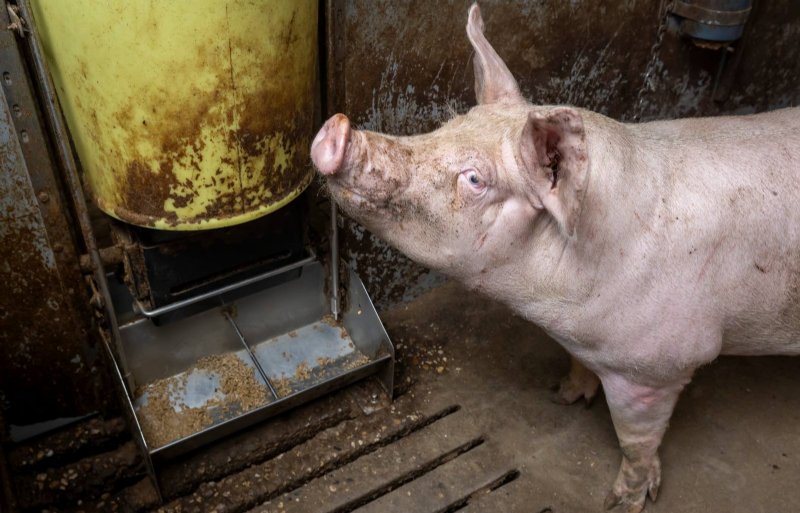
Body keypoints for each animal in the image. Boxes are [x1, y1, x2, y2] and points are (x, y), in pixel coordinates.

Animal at [310, 4, 800, 512]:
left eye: (474, 179)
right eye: (445, 125)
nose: (337, 127)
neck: (562, 304)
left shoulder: (660, 367)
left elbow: (637, 441)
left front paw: (623, 501)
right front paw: (563, 396)